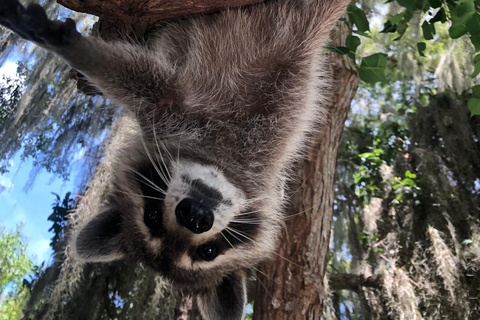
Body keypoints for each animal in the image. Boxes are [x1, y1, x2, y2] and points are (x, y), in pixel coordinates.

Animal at [0, 0, 348, 318]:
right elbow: (142, 79)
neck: (223, 159)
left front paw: (70, 44)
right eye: (153, 217)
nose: (195, 215)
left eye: (209, 250)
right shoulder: (170, 115)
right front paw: (71, 45)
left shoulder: (279, 104)